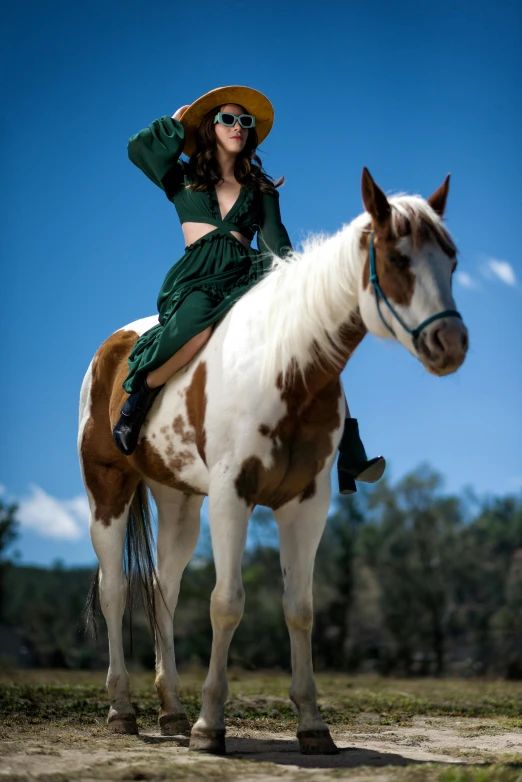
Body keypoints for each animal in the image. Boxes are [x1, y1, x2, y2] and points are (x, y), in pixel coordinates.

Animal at [78, 168, 468, 756]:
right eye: (399, 259)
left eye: (452, 261)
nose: (452, 343)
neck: (285, 366)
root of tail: (112, 347)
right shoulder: (232, 495)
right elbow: (226, 602)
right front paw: (210, 727)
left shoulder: (306, 504)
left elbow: (299, 608)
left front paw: (312, 725)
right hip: (108, 489)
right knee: (115, 590)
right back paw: (123, 709)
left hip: (179, 502)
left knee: (163, 591)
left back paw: (171, 711)